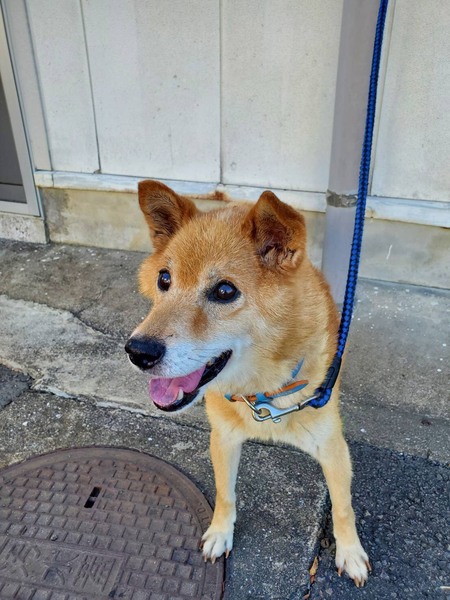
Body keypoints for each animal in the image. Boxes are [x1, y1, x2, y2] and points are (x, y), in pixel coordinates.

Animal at [125, 180, 370, 586]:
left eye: (225, 291)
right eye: (164, 279)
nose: (138, 351)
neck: (263, 392)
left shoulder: (333, 447)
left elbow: (343, 506)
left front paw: (350, 551)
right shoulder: (223, 437)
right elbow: (225, 494)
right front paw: (220, 532)